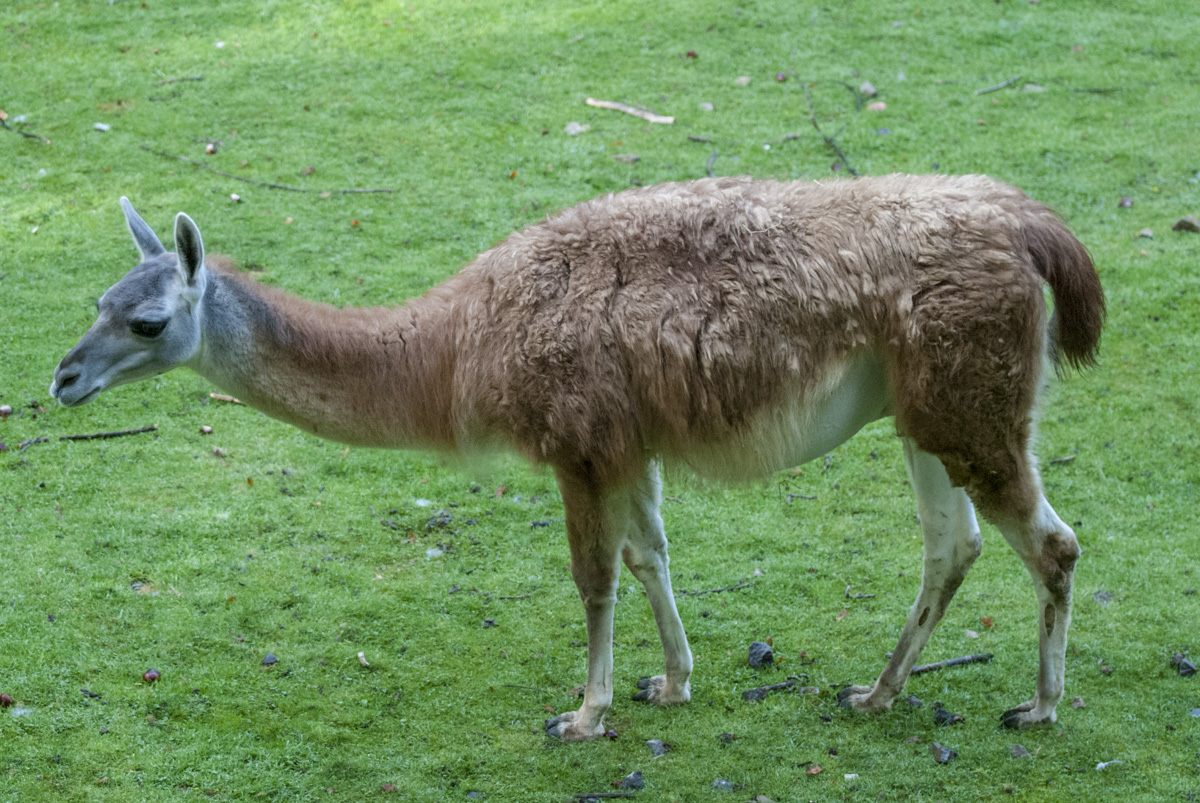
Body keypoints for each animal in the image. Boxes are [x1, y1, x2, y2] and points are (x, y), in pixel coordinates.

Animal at [50, 175, 1104, 741]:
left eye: (147, 321)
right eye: (99, 300)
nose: (62, 377)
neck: (455, 343)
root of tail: (1029, 222)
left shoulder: (578, 437)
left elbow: (593, 575)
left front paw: (585, 715)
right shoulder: (626, 439)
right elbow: (650, 554)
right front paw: (671, 680)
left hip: (969, 400)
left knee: (1051, 543)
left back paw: (1039, 706)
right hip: (922, 410)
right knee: (953, 545)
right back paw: (878, 691)